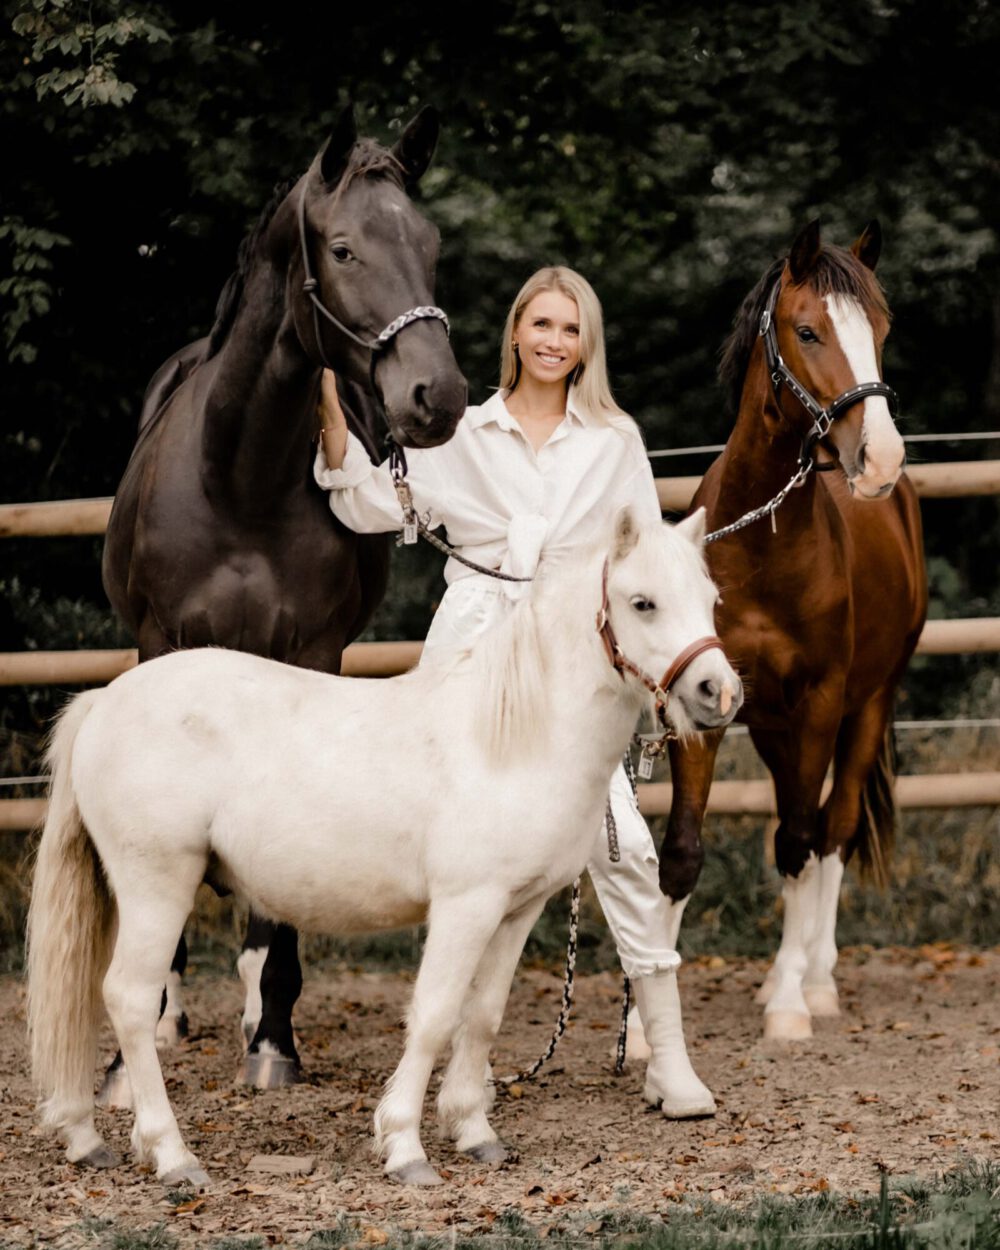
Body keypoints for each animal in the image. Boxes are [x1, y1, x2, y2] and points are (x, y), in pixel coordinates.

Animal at [27, 507, 742, 1187]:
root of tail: (104, 701)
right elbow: (435, 1014)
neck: (514, 736)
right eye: (642, 602)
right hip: (157, 887)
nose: (720, 692)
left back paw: (86, 1139)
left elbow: (483, 1016)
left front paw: (474, 1132)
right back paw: (173, 1156)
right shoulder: (465, 906)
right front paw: (405, 1146)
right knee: (128, 998)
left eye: (709, 599)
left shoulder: (517, 910)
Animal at [100, 105, 467, 1098]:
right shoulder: (164, 646)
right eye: (343, 249)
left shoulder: (310, 653)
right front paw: (129, 1049)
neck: (239, 478)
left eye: (431, 244)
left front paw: (273, 1033)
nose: (439, 397)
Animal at [659, 220, 927, 1041]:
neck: (759, 545)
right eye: (808, 331)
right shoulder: (704, 702)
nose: (880, 457)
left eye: (882, 330)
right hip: (776, 727)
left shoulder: (820, 701)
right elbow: (683, 852)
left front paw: (788, 1008)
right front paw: (649, 1033)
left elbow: (804, 842)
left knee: (828, 833)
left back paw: (812, 982)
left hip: (863, 708)